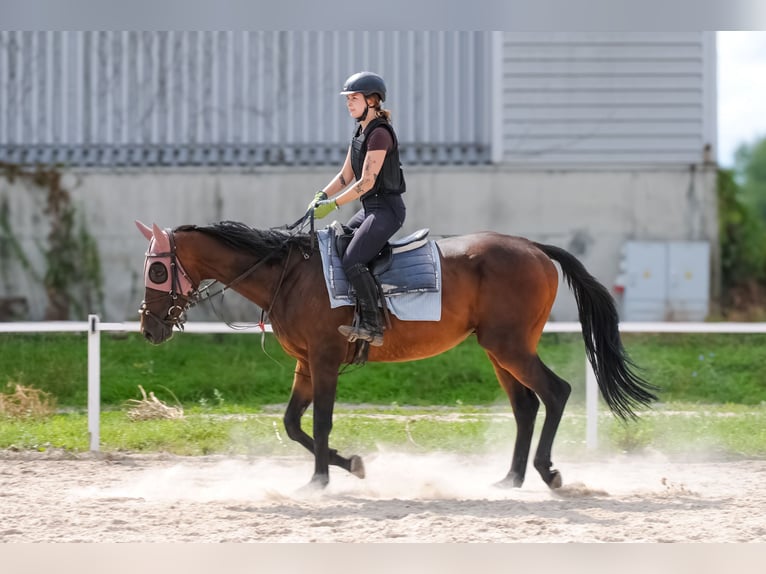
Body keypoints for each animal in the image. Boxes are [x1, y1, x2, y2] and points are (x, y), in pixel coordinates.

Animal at [135, 220, 656, 490]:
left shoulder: (324, 360)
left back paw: (546, 472)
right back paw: (510, 478)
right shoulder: (306, 364)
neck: (289, 274)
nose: (148, 327)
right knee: (526, 406)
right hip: (499, 350)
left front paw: (320, 480)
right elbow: (292, 424)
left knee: (555, 393)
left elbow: (320, 421)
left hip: (509, 346)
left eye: (158, 270)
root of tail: (532, 246)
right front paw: (348, 465)